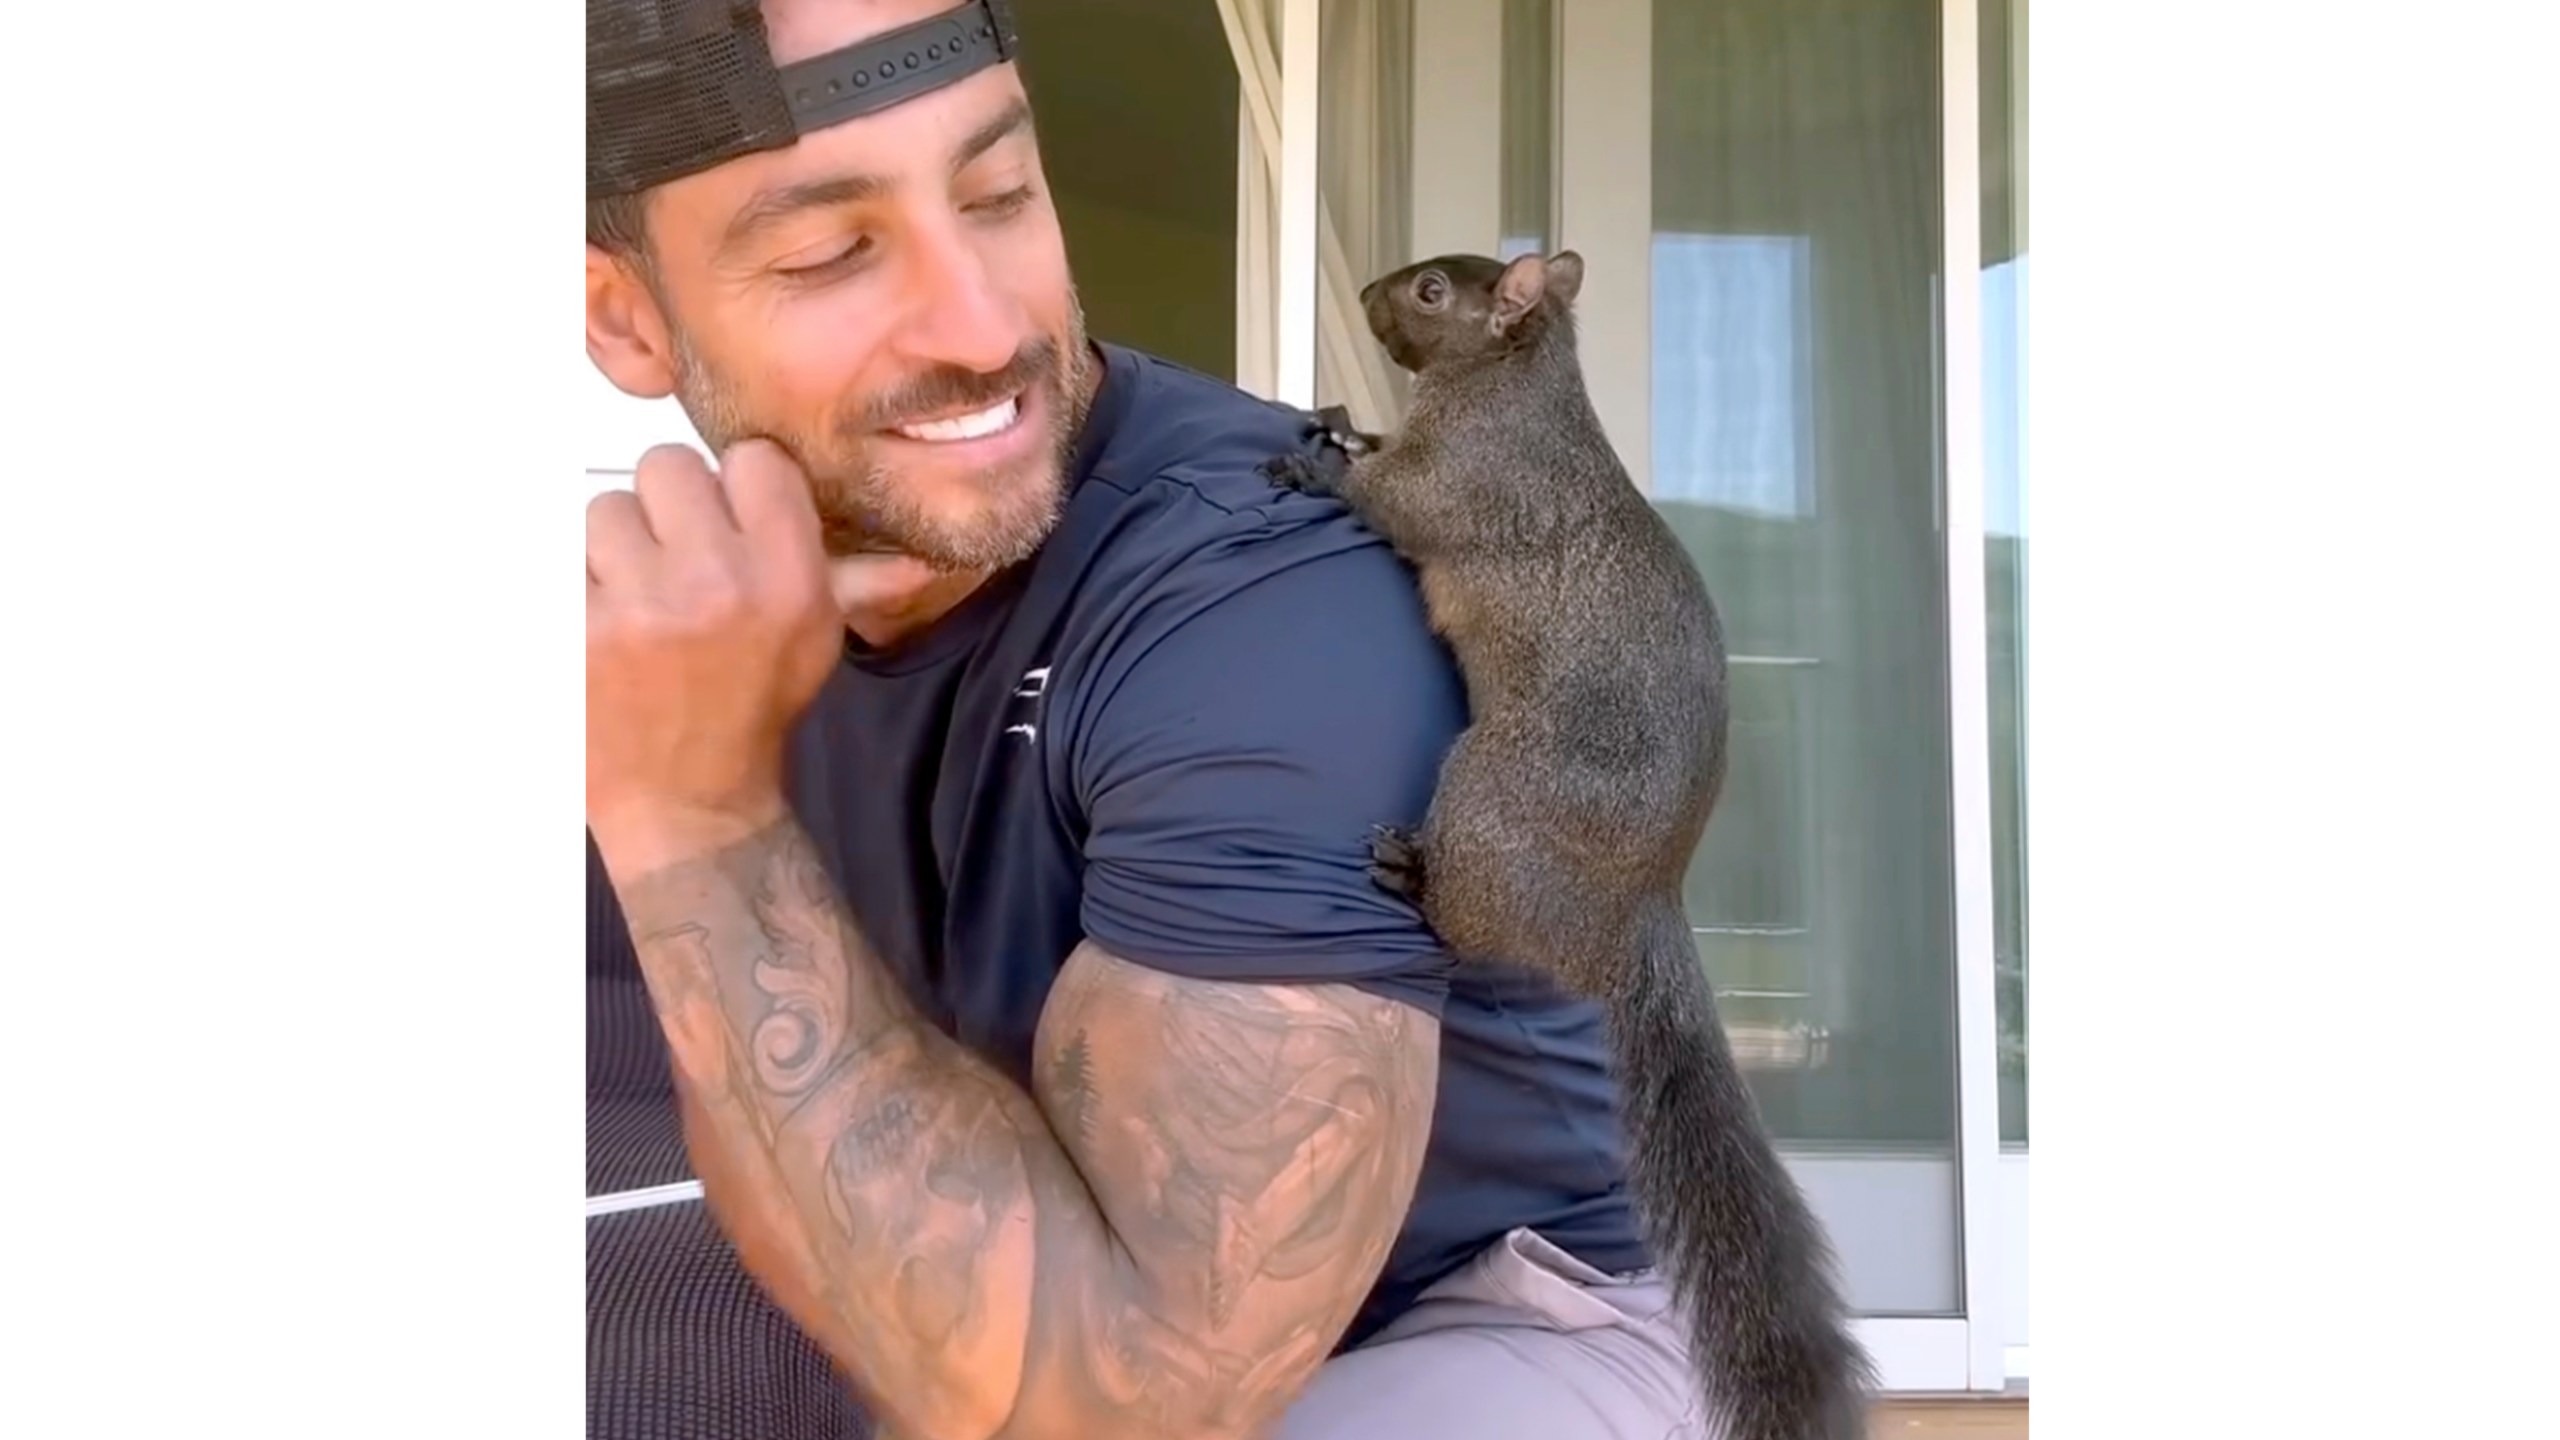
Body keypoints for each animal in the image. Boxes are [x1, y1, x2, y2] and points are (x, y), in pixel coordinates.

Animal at [1264, 249, 1884, 1434]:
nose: (1364, 293)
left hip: (1484, 796)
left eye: (1431, 294)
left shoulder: (1467, 484)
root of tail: (1634, 906)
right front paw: (1342, 422)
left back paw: (1411, 874)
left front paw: (1313, 461)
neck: (1511, 386)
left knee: (1466, 929)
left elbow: (1393, 501)